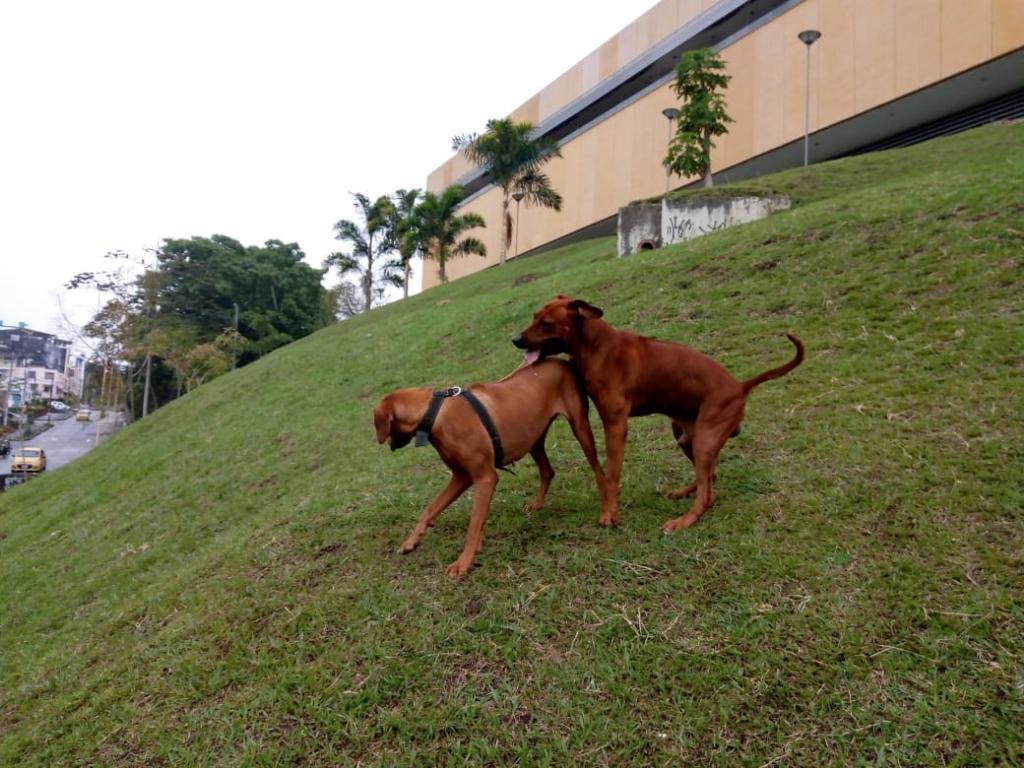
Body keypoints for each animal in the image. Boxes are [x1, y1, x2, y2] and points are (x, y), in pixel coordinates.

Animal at [372, 360, 602, 577]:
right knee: (548, 472)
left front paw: (463, 562)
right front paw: (411, 542)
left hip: (580, 427)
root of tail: (561, 361)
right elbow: (431, 508)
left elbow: (474, 524)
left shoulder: (485, 478)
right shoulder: (461, 477)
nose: (384, 442)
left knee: (597, 467)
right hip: (533, 438)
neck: (435, 413)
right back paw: (537, 505)